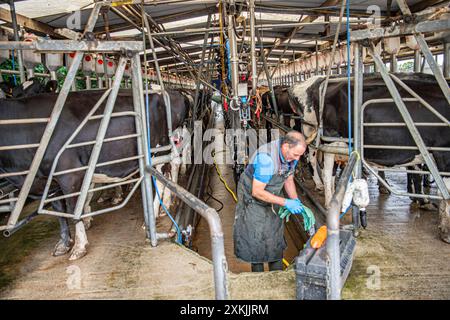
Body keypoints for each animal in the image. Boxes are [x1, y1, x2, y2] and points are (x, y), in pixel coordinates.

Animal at [0, 89, 192, 258]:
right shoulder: (48, 180)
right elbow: (59, 210)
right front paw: (64, 243)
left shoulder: (69, 174)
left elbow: (73, 209)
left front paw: (79, 246)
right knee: (169, 170)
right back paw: (166, 203)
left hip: (160, 150)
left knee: (163, 175)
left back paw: (154, 213)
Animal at [288, 72, 450, 242]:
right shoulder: (443, 151)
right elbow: (445, 189)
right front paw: (446, 229)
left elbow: (424, 178)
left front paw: (426, 204)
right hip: (327, 140)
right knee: (321, 168)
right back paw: (327, 197)